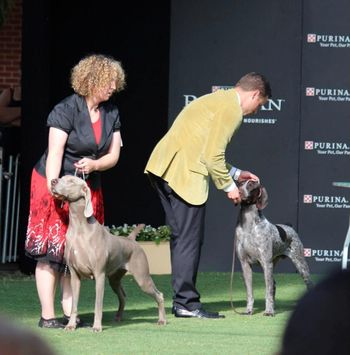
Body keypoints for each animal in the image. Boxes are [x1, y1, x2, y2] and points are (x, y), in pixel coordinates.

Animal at [50, 175, 167, 334]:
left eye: (71, 181)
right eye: (62, 177)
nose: (53, 181)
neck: (79, 227)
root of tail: (131, 239)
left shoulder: (99, 274)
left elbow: (98, 304)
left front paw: (97, 326)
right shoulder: (74, 275)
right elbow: (74, 305)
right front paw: (71, 325)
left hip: (142, 277)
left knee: (159, 295)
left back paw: (162, 320)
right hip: (114, 278)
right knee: (123, 296)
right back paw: (118, 317)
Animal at [235, 181, 312, 318]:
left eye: (251, 184)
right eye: (240, 183)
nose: (239, 191)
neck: (248, 225)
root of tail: (289, 227)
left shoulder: (266, 263)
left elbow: (268, 291)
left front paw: (269, 311)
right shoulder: (245, 264)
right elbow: (250, 293)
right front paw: (249, 310)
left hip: (300, 265)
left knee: (307, 284)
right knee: (274, 284)